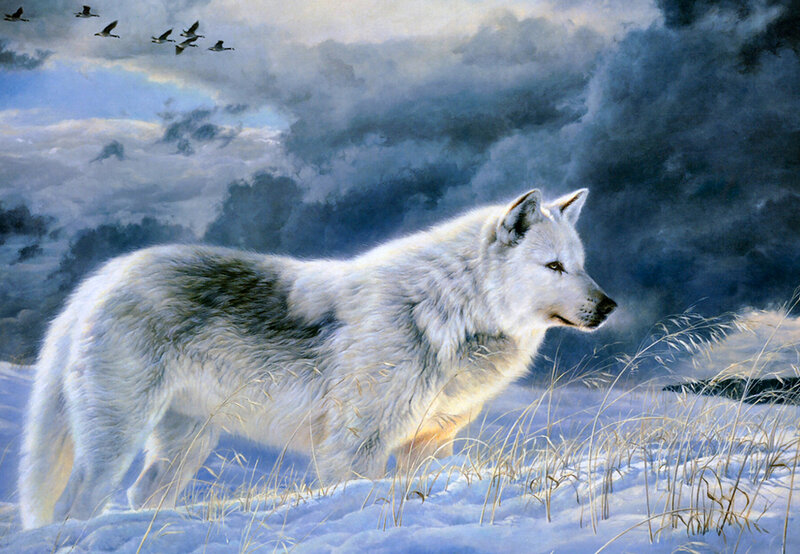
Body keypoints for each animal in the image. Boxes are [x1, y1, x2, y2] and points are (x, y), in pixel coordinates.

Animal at [19, 188, 616, 529]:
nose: (610, 306)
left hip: (184, 446)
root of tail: (101, 277)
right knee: (75, 507)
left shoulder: (429, 445)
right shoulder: (353, 448)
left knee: (142, 496)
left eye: (582, 264)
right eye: (554, 267)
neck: (447, 311)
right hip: (116, 440)